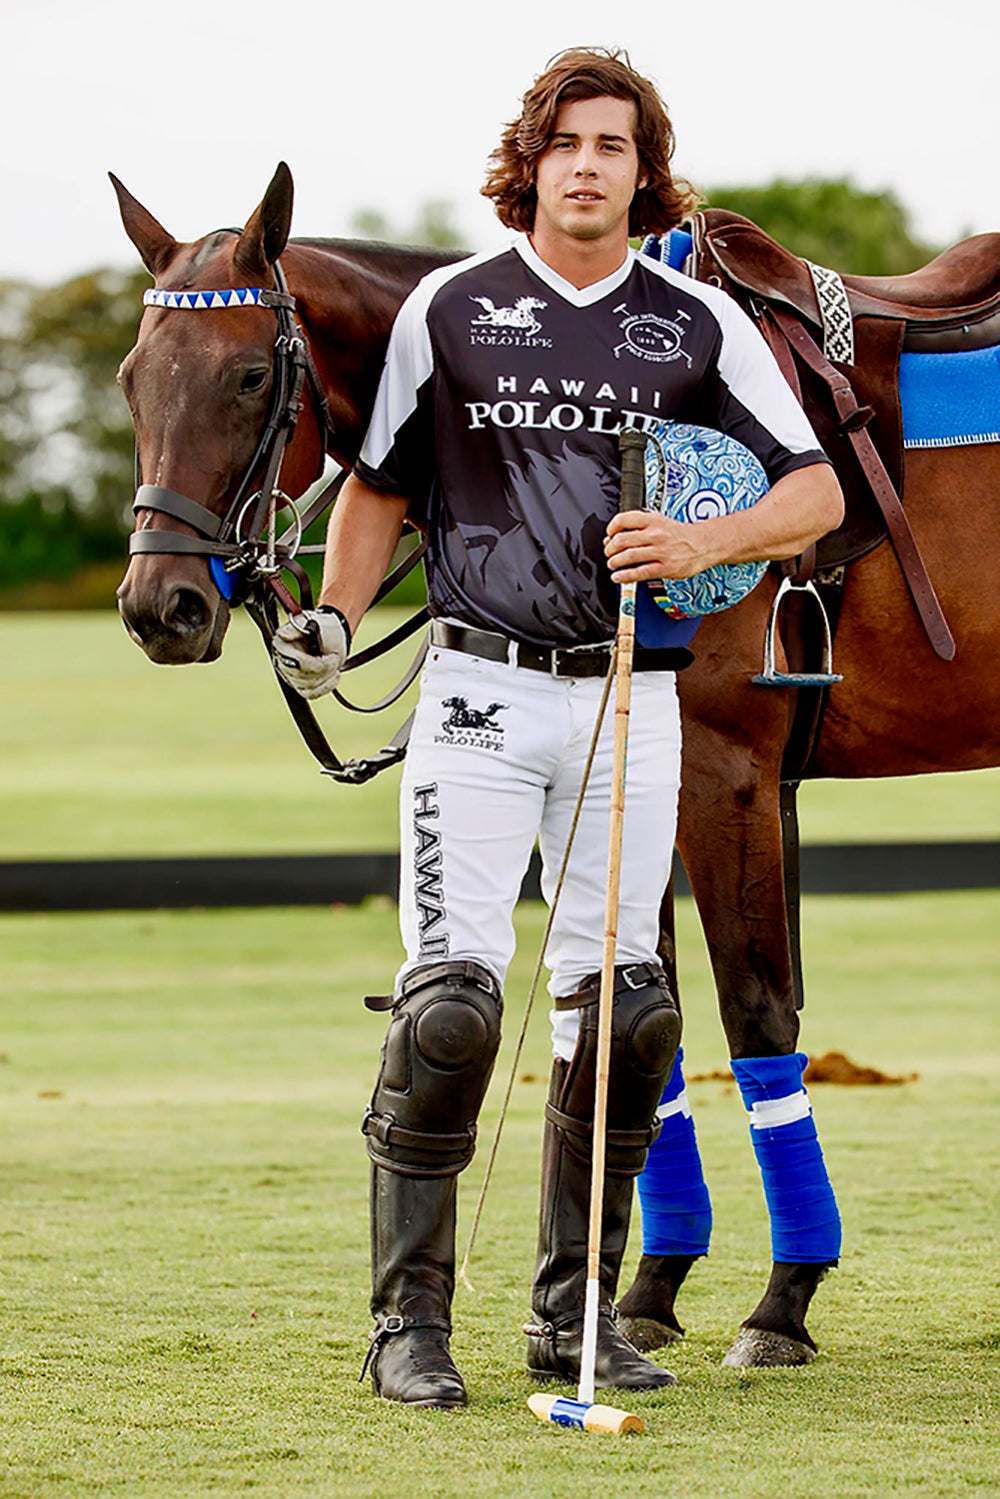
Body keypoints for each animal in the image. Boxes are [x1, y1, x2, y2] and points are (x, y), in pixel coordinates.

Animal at [109, 164, 1000, 1373]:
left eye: (250, 375)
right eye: (130, 381)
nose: (161, 607)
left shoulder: (724, 771)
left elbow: (758, 1017)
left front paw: (780, 1304)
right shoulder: (654, 780)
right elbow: (640, 1020)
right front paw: (645, 1290)